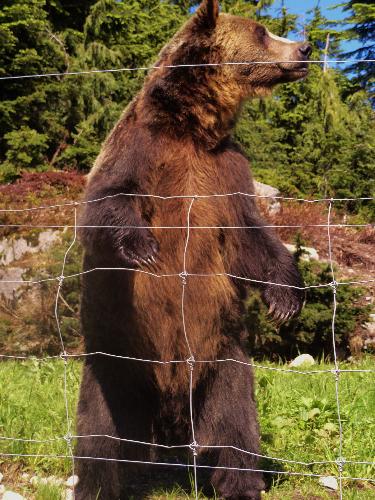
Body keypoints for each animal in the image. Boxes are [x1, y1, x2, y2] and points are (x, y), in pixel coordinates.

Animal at [75, 1, 310, 498]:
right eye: (261, 32)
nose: (304, 48)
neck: (193, 127)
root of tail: (167, 406)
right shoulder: (139, 147)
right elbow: (103, 203)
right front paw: (142, 245)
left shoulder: (226, 170)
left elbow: (250, 236)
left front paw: (286, 297)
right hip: (114, 357)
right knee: (99, 429)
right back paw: (98, 483)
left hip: (223, 357)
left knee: (235, 422)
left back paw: (240, 482)